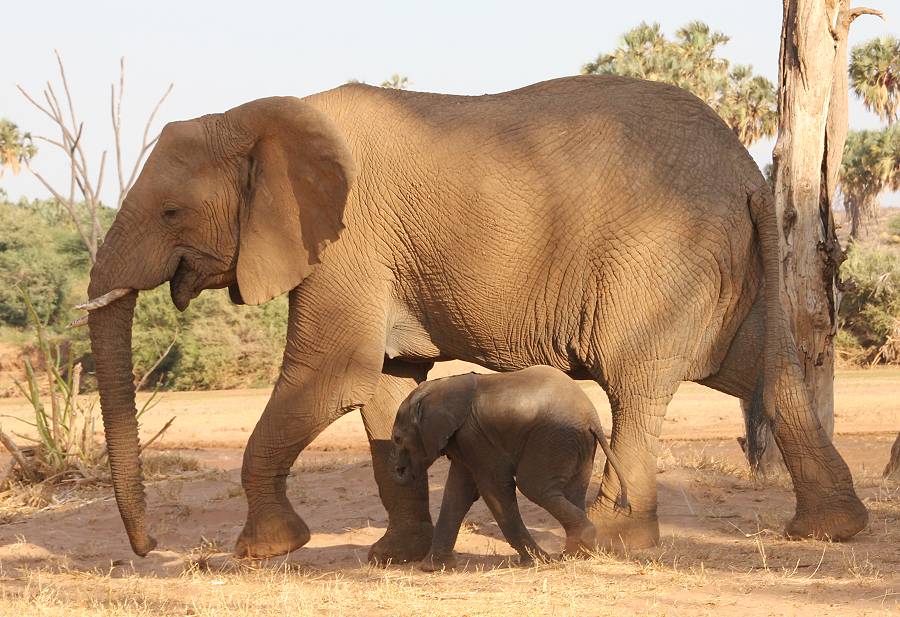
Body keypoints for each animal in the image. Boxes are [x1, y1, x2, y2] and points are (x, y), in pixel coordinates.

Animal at [390, 364, 628, 572]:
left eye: (398, 439)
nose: (399, 470)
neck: (441, 386)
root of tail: (592, 418)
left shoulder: (475, 438)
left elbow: (494, 490)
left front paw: (537, 562)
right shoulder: (465, 441)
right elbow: (457, 492)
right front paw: (433, 568)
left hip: (552, 437)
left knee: (533, 486)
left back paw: (571, 551)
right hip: (577, 444)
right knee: (573, 490)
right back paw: (576, 554)